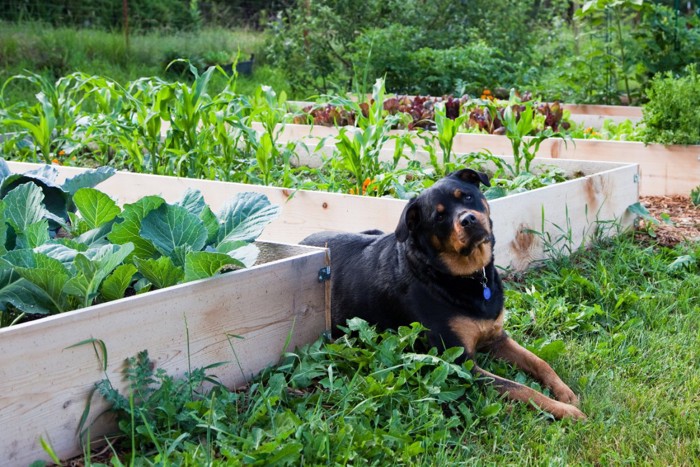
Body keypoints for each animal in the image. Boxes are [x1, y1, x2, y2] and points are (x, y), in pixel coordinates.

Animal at [300, 168, 584, 420]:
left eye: (466, 196)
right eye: (438, 217)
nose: (468, 219)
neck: (465, 276)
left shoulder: (497, 338)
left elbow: (539, 362)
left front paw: (565, 393)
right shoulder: (461, 364)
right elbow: (521, 388)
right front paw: (565, 411)